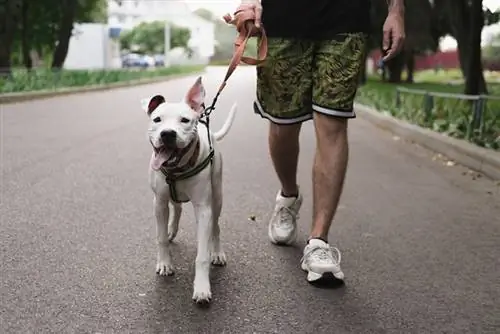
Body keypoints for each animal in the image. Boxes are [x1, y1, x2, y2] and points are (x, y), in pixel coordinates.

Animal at [139, 77, 236, 304]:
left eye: (184, 120)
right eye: (157, 120)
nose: (167, 134)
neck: (178, 169)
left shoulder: (204, 208)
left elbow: (202, 254)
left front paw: (202, 288)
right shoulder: (159, 203)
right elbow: (160, 237)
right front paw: (165, 263)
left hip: (217, 196)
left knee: (216, 226)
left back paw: (217, 252)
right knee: (177, 209)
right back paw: (171, 229)